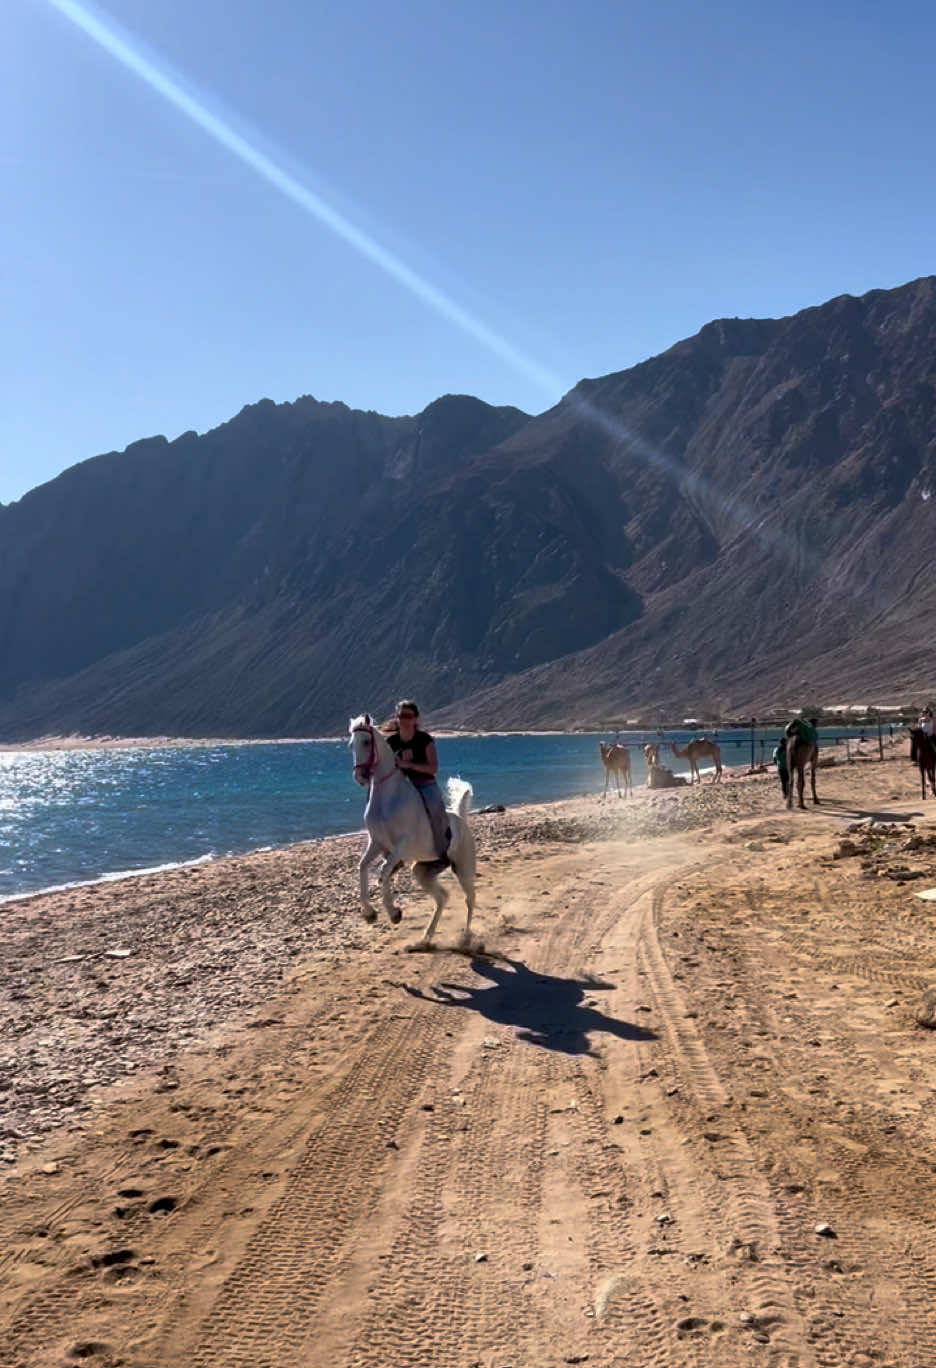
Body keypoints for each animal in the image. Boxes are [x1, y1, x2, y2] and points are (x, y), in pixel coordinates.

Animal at [348, 716, 476, 952]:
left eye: (366, 742)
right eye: (351, 745)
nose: (359, 776)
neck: (388, 799)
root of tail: (461, 819)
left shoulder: (403, 845)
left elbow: (383, 871)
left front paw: (393, 913)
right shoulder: (378, 843)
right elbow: (362, 867)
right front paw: (370, 913)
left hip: (463, 869)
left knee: (470, 899)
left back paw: (465, 939)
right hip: (422, 871)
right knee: (442, 898)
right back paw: (425, 938)